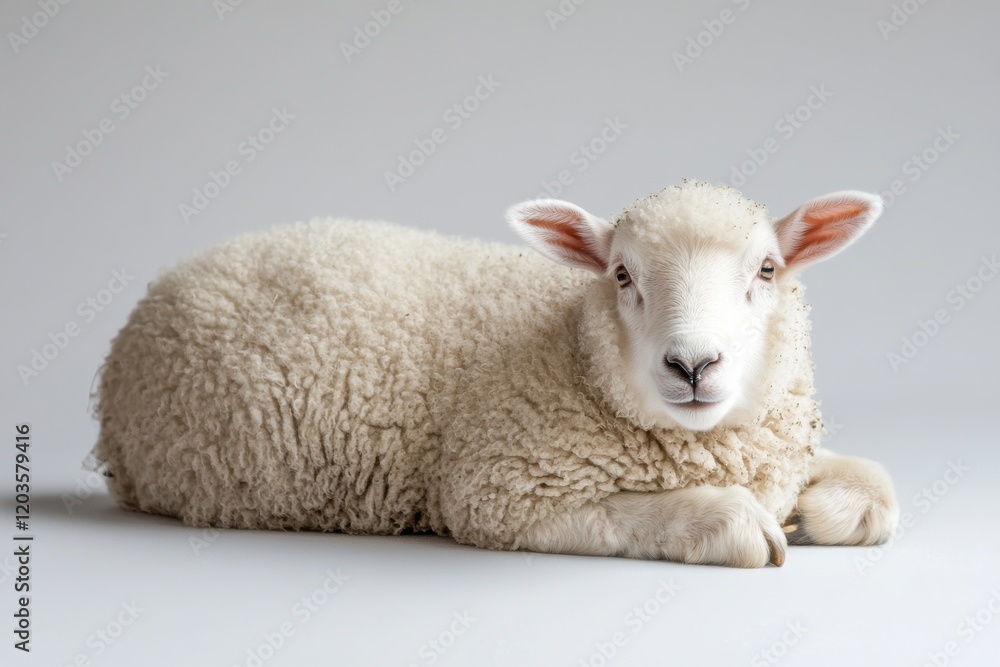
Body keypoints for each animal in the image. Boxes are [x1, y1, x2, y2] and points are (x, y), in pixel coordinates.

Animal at [92, 180, 899, 568]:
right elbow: (657, 513)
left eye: (767, 269)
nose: (693, 363)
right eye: (621, 274)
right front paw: (735, 522)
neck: (571, 347)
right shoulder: (502, 492)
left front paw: (813, 511)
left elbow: (879, 490)